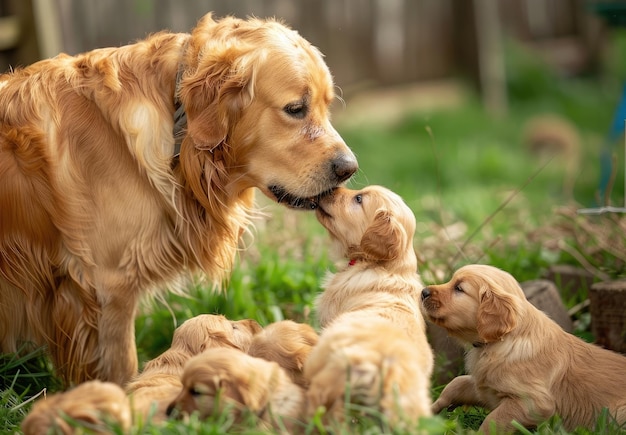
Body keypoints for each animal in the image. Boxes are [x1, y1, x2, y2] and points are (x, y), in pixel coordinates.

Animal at [0, 12, 356, 384]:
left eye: (326, 106)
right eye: (295, 109)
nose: (350, 168)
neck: (176, 126)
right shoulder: (108, 287)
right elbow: (121, 368)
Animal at [416, 264, 624, 434]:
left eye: (459, 288)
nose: (423, 292)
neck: (504, 340)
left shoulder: (534, 402)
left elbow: (492, 421)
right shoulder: (487, 388)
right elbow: (456, 383)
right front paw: (429, 411)